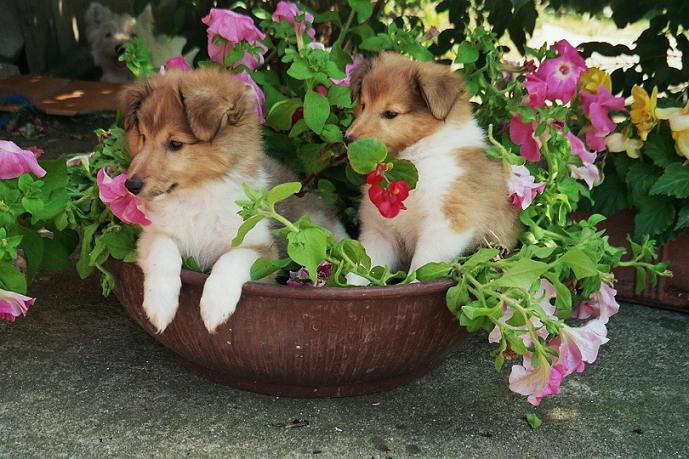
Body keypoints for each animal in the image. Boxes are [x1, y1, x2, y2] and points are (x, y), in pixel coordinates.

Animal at [119, 68, 344, 334]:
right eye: (142, 136)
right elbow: (162, 254)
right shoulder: (153, 233)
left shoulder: (262, 250)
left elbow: (229, 261)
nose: (130, 185)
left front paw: (215, 307)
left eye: (175, 144)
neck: (197, 194)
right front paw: (160, 304)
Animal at [346, 52, 520, 282]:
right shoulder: (380, 232)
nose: (347, 139)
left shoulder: (446, 224)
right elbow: (363, 267)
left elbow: (421, 267)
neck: (416, 160)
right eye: (364, 105)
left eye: (390, 113)